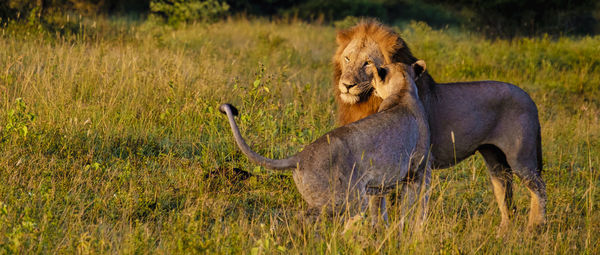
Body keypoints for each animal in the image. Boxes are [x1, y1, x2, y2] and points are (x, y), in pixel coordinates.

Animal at [220, 60, 432, 224]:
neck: (402, 90)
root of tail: (300, 156)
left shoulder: (380, 186)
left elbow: (381, 211)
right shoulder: (418, 172)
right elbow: (413, 208)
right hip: (344, 199)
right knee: (308, 218)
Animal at [336, 20, 548, 229]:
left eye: (367, 63)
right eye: (347, 59)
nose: (346, 85)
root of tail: (529, 98)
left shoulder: (423, 164)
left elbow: (415, 206)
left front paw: (412, 232)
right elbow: (376, 202)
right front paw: (375, 230)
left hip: (521, 157)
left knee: (539, 188)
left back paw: (536, 227)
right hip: (494, 158)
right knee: (505, 191)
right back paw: (504, 231)